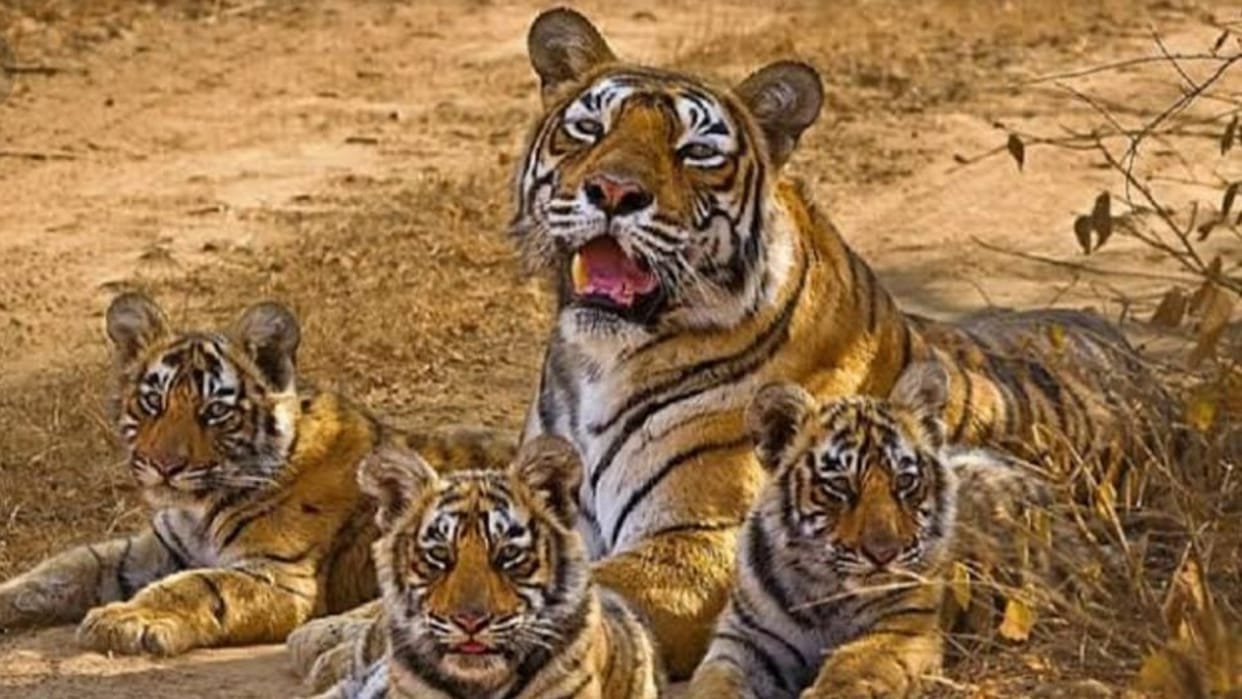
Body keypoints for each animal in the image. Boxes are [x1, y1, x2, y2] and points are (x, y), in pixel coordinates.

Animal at [0, 292, 516, 656]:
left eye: (214, 412)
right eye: (153, 402)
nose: (165, 466)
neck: (198, 508)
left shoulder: (281, 578)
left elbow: (197, 586)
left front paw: (127, 620)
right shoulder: (152, 549)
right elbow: (65, 568)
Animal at [686, 363, 1096, 699]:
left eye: (905, 481)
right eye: (840, 487)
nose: (884, 554)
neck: (825, 592)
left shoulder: (902, 630)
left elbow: (852, 669)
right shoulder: (744, 640)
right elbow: (714, 683)